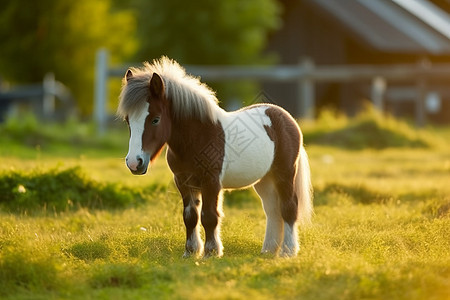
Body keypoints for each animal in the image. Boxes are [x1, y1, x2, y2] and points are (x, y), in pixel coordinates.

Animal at [117, 56, 312, 258]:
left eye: (156, 119)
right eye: (128, 120)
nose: (134, 163)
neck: (198, 137)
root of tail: (285, 117)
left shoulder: (211, 181)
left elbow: (209, 216)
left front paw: (211, 252)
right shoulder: (183, 182)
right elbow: (190, 216)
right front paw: (191, 252)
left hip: (285, 173)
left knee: (289, 207)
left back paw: (288, 251)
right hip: (264, 179)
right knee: (273, 210)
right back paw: (268, 250)